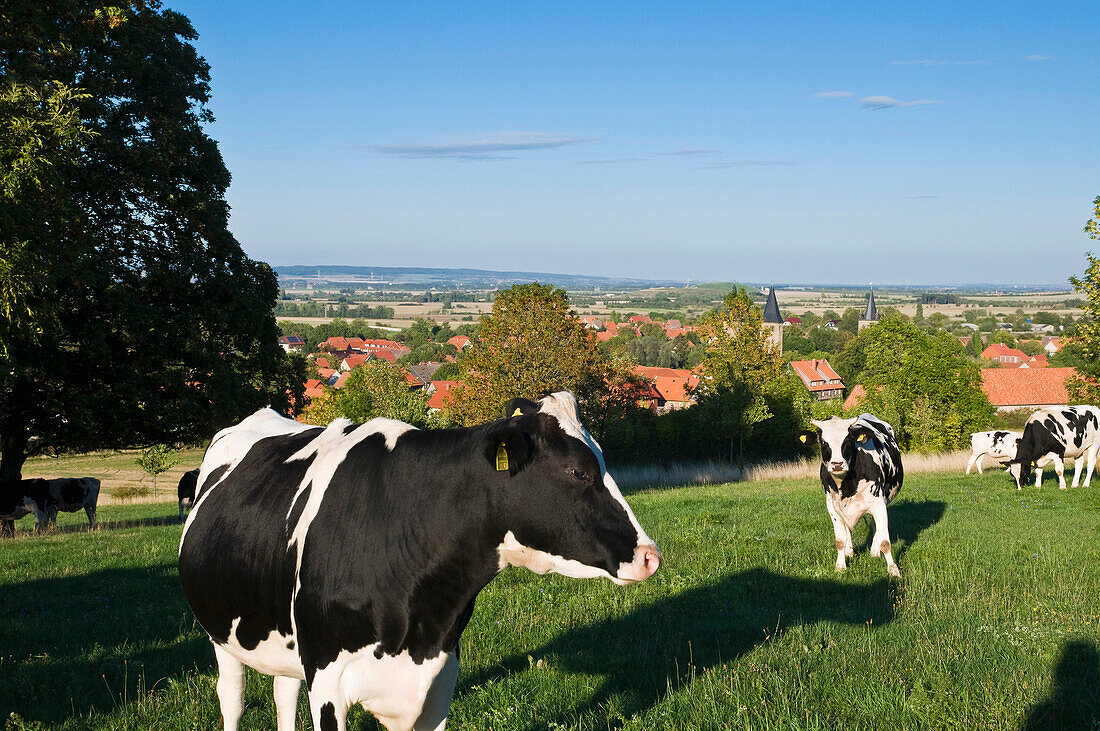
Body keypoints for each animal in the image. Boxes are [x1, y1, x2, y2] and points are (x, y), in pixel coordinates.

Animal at [180, 393, 660, 729]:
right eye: (579, 471)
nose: (650, 555)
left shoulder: (437, 682)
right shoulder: (329, 684)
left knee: (283, 695)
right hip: (224, 637)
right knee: (233, 700)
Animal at [800, 411, 902, 576]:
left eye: (847, 441)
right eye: (823, 442)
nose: (837, 464)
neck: (846, 486)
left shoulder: (879, 504)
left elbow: (885, 541)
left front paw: (893, 571)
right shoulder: (832, 507)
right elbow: (840, 540)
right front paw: (840, 566)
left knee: (875, 527)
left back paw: (874, 552)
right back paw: (849, 552)